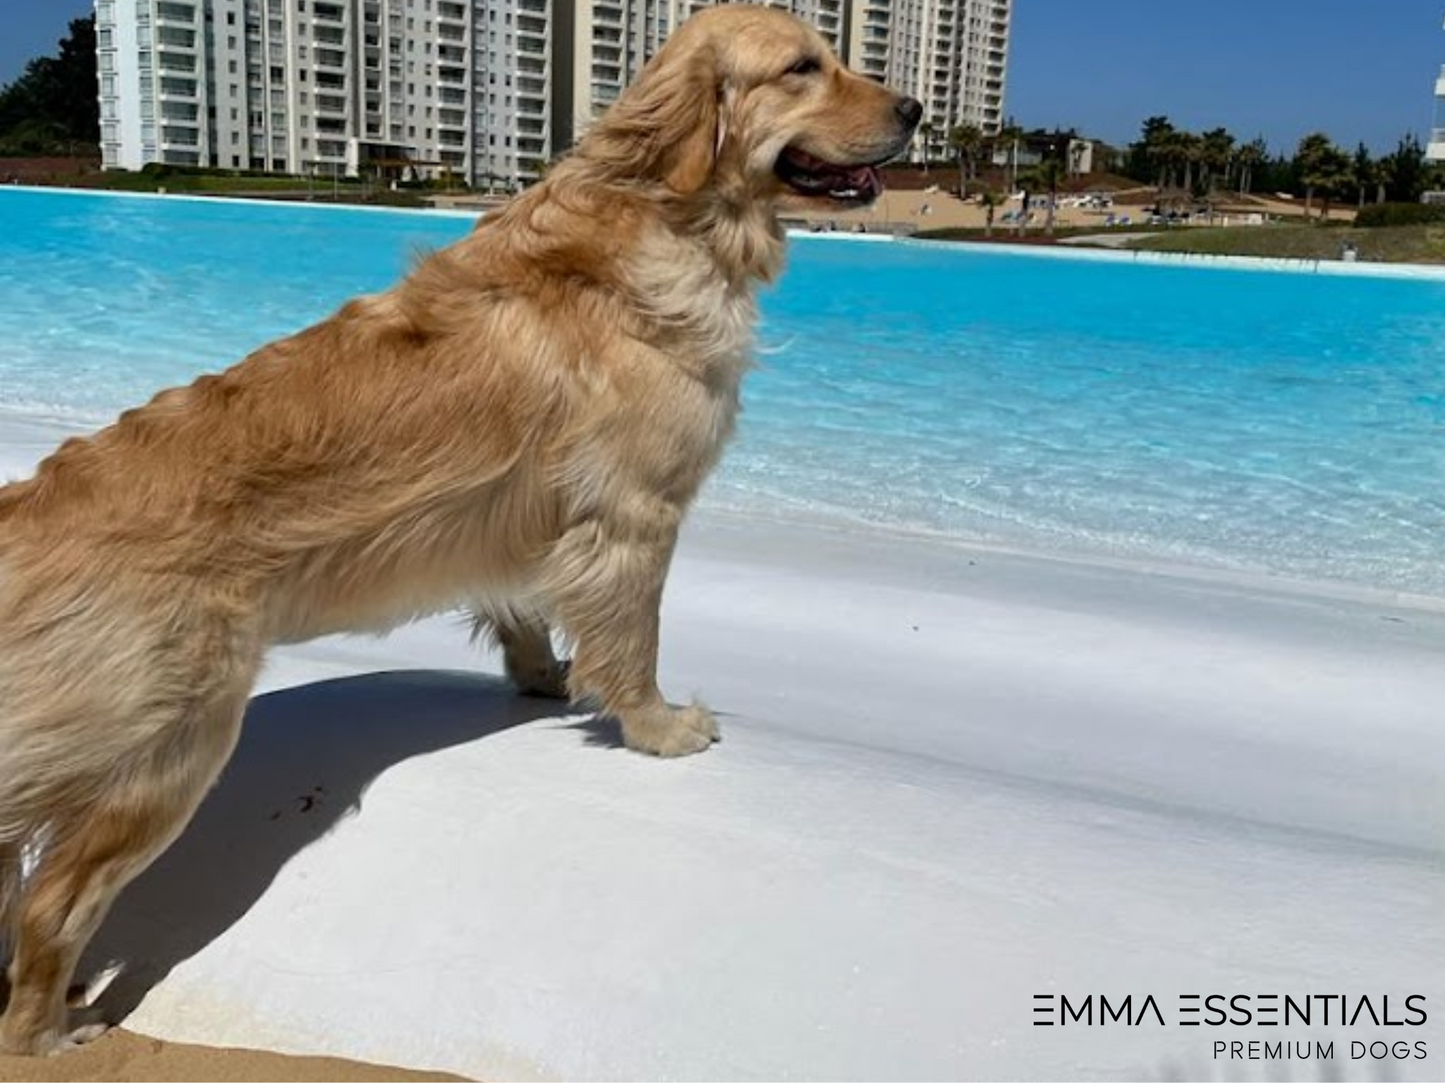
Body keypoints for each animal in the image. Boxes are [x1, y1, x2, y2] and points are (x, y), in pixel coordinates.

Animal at [0, 0, 919, 1046]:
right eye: (804, 68)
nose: (917, 110)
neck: (663, 210)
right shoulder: (635, 514)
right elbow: (633, 641)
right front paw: (657, 727)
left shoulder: (519, 520)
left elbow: (526, 607)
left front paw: (545, 675)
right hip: (172, 749)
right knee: (50, 906)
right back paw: (49, 1031)